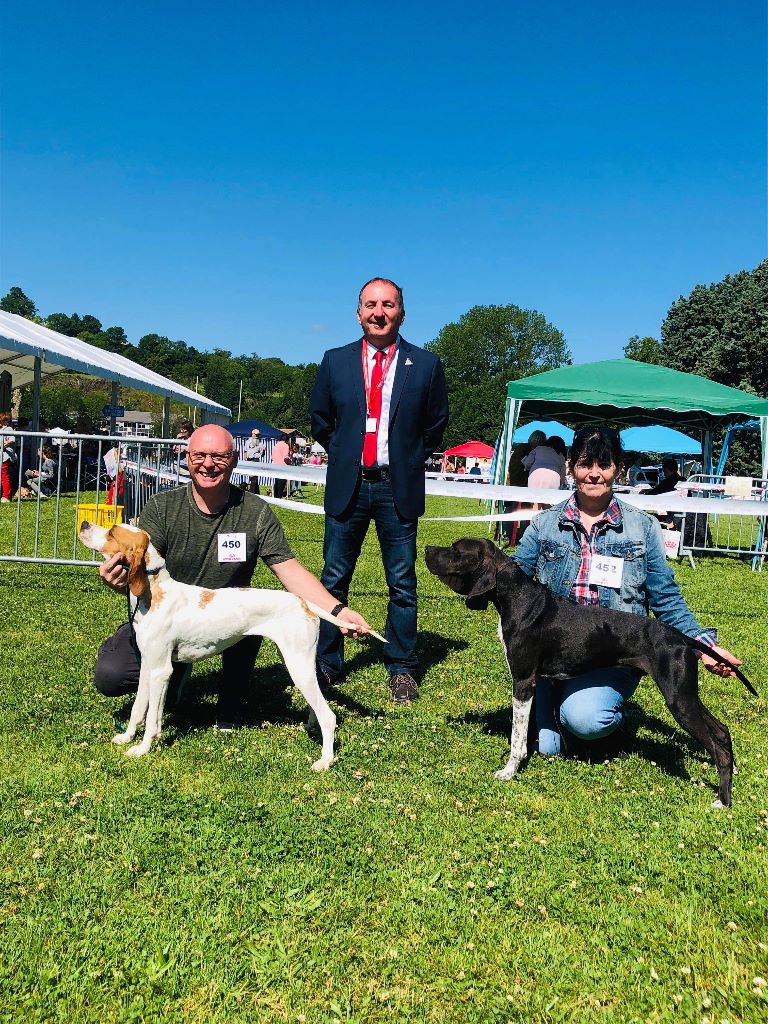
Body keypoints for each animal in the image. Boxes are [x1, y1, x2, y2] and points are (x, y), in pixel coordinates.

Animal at [79, 520, 382, 770]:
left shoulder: (161, 671)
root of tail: (303, 601)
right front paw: (127, 738)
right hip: (301, 664)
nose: (83, 524)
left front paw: (143, 749)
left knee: (329, 716)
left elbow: (152, 719)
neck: (154, 592)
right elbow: (139, 710)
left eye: (111, 533)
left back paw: (325, 761)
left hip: (298, 667)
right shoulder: (148, 669)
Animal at [428, 536, 757, 806]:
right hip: (686, 694)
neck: (518, 600)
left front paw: (509, 771)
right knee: (722, 732)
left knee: (717, 745)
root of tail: (681, 637)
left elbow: (516, 738)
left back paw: (723, 800)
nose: (428, 548)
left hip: (679, 700)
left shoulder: (523, 682)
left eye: (456, 551)